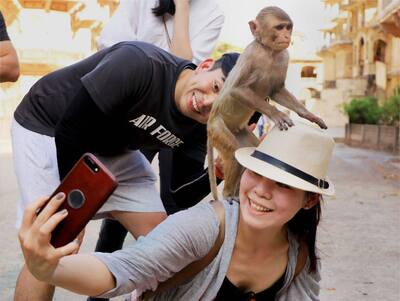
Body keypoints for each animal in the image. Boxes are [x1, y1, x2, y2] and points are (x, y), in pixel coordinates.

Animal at [208, 5, 326, 198]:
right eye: (279, 27)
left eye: (288, 27)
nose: (286, 36)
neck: (269, 51)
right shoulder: (251, 54)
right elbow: (237, 89)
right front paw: (276, 114)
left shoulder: (284, 56)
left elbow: (276, 90)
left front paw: (309, 115)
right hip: (217, 128)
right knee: (232, 153)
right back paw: (228, 194)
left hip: (239, 131)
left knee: (249, 148)